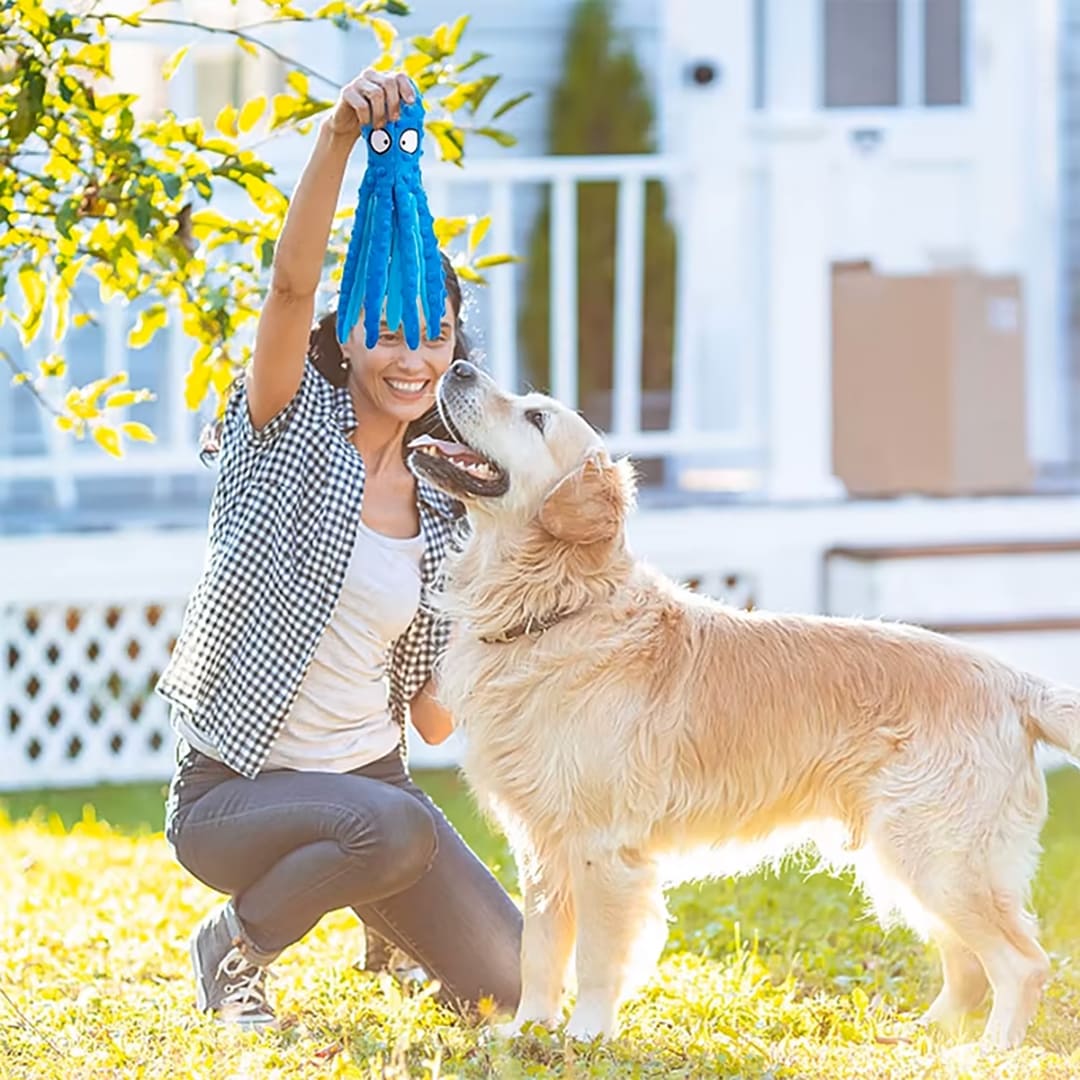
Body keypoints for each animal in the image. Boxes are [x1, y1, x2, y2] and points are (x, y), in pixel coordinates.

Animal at [408, 360, 1075, 1045]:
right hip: (908, 859)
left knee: (1020, 963)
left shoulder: (603, 846)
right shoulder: (542, 847)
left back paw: (989, 1051)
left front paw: (586, 1035)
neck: (556, 605)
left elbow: (593, 958)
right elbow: (537, 950)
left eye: (536, 417)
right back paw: (922, 1037)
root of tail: (1015, 682)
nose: (458, 366)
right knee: (967, 967)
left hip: (938, 857)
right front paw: (528, 1030)